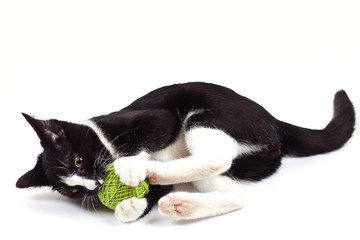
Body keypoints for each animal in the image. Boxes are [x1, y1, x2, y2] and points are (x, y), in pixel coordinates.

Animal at [16, 82, 354, 221]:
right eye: (73, 190)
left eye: (78, 160)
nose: (95, 184)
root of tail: (273, 120)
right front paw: (131, 207)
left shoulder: (156, 118)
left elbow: (148, 136)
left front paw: (131, 168)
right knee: (233, 190)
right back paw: (182, 205)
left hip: (207, 117)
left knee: (216, 157)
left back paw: (153, 170)